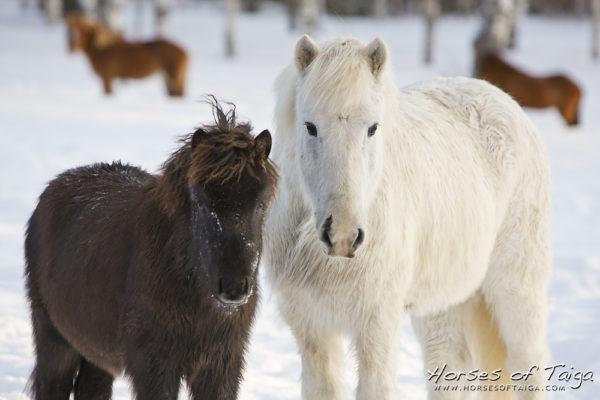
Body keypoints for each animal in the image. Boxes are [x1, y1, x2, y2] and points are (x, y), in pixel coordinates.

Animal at [22, 97, 276, 400]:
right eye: (202, 204)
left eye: (259, 205)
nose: (235, 288)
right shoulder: (154, 363)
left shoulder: (220, 366)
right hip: (53, 339)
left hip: (96, 352)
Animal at [264, 35, 552, 400]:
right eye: (310, 126)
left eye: (373, 127)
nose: (342, 235)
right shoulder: (312, 328)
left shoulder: (378, 324)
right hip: (442, 303)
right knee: (450, 368)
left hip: (516, 288)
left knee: (529, 364)